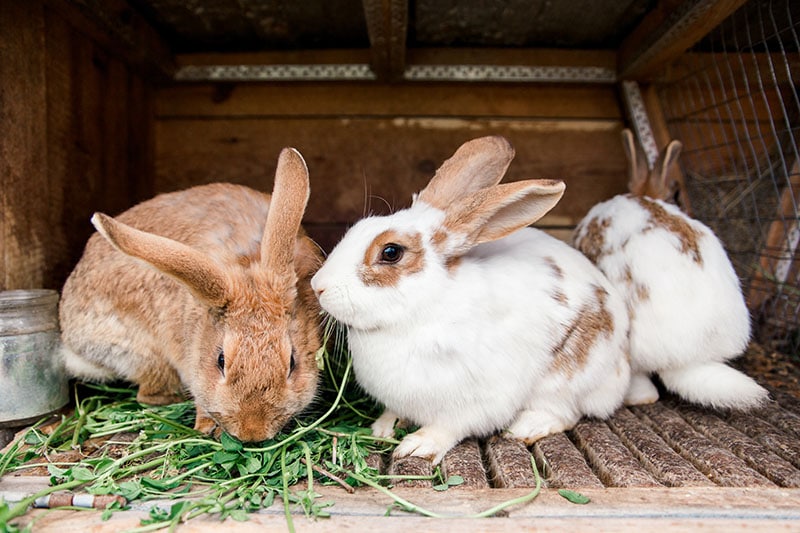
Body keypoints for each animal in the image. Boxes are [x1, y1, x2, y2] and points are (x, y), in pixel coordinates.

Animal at [59, 147, 324, 440]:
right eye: (220, 360)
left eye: (292, 362)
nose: (251, 433)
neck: (246, 260)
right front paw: (205, 426)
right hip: (144, 353)